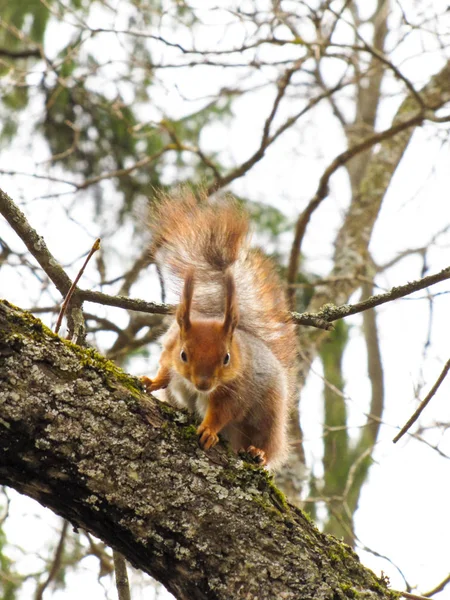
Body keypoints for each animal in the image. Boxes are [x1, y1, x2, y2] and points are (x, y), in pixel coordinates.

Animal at [142, 190, 298, 466]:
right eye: (183, 354)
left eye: (226, 358)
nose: (204, 384)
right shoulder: (169, 349)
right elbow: (165, 370)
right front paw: (152, 380)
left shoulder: (237, 390)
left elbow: (223, 412)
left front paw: (208, 430)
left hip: (269, 414)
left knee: (267, 444)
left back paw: (258, 452)